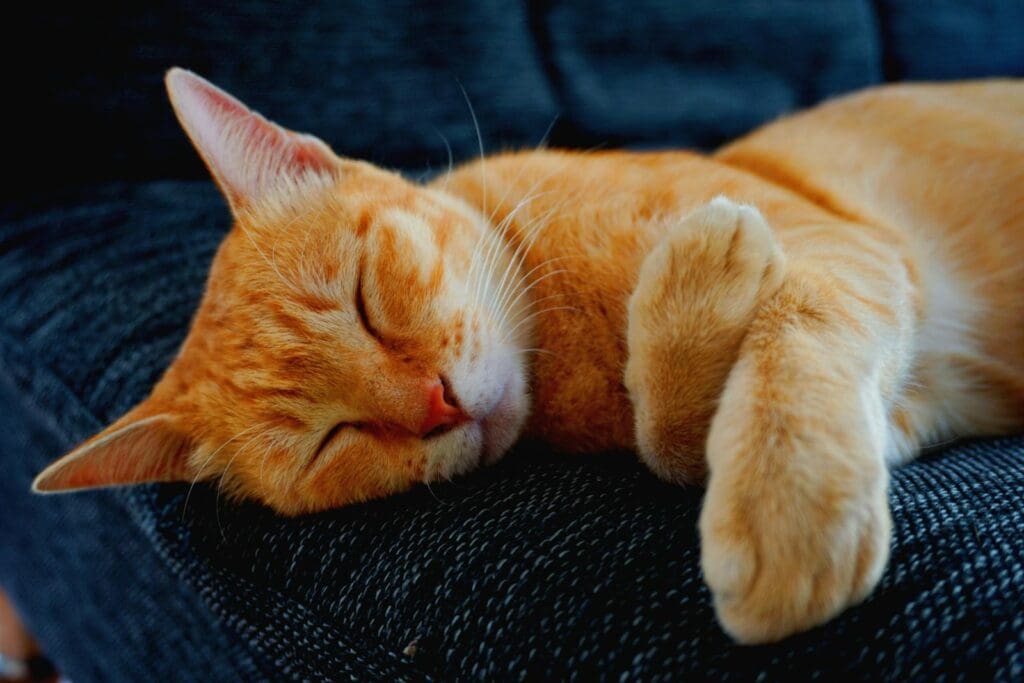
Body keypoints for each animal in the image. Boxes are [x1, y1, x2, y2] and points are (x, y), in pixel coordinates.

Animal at [32, 70, 1024, 647]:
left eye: (366, 300)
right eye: (330, 441)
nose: (436, 403)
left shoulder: (842, 247)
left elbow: (792, 339)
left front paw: (789, 496)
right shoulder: (907, 390)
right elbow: (674, 439)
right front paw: (699, 300)